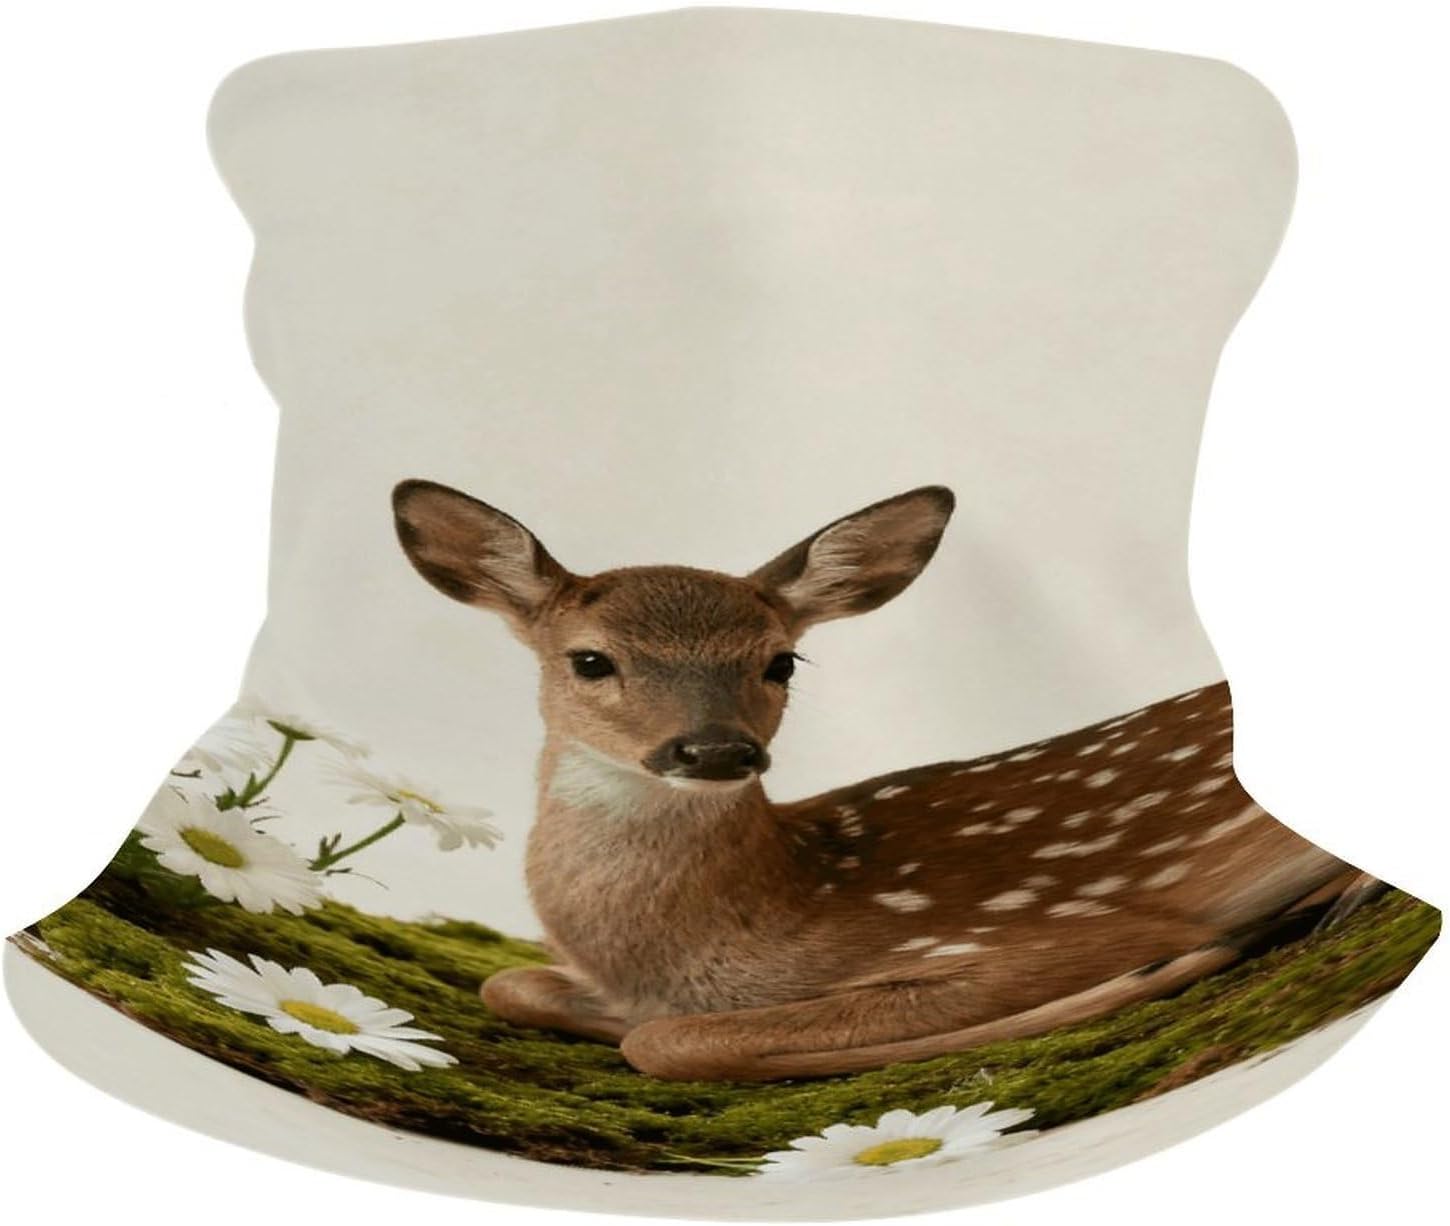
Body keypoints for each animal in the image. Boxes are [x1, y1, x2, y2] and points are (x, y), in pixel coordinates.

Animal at [392, 479, 1386, 1082]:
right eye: (590, 660)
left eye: (782, 660)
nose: (714, 751)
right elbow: (510, 985)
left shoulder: (1054, 931)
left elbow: (669, 1041)